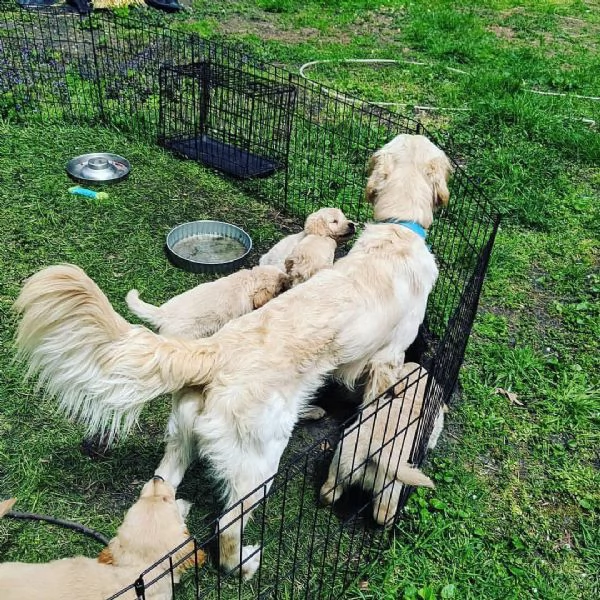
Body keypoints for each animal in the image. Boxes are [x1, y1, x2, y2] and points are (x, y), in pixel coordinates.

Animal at [322, 360, 442, 524]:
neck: (412, 397)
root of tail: (373, 449)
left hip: (340, 461)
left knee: (330, 489)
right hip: (390, 486)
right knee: (381, 512)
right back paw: (389, 520)